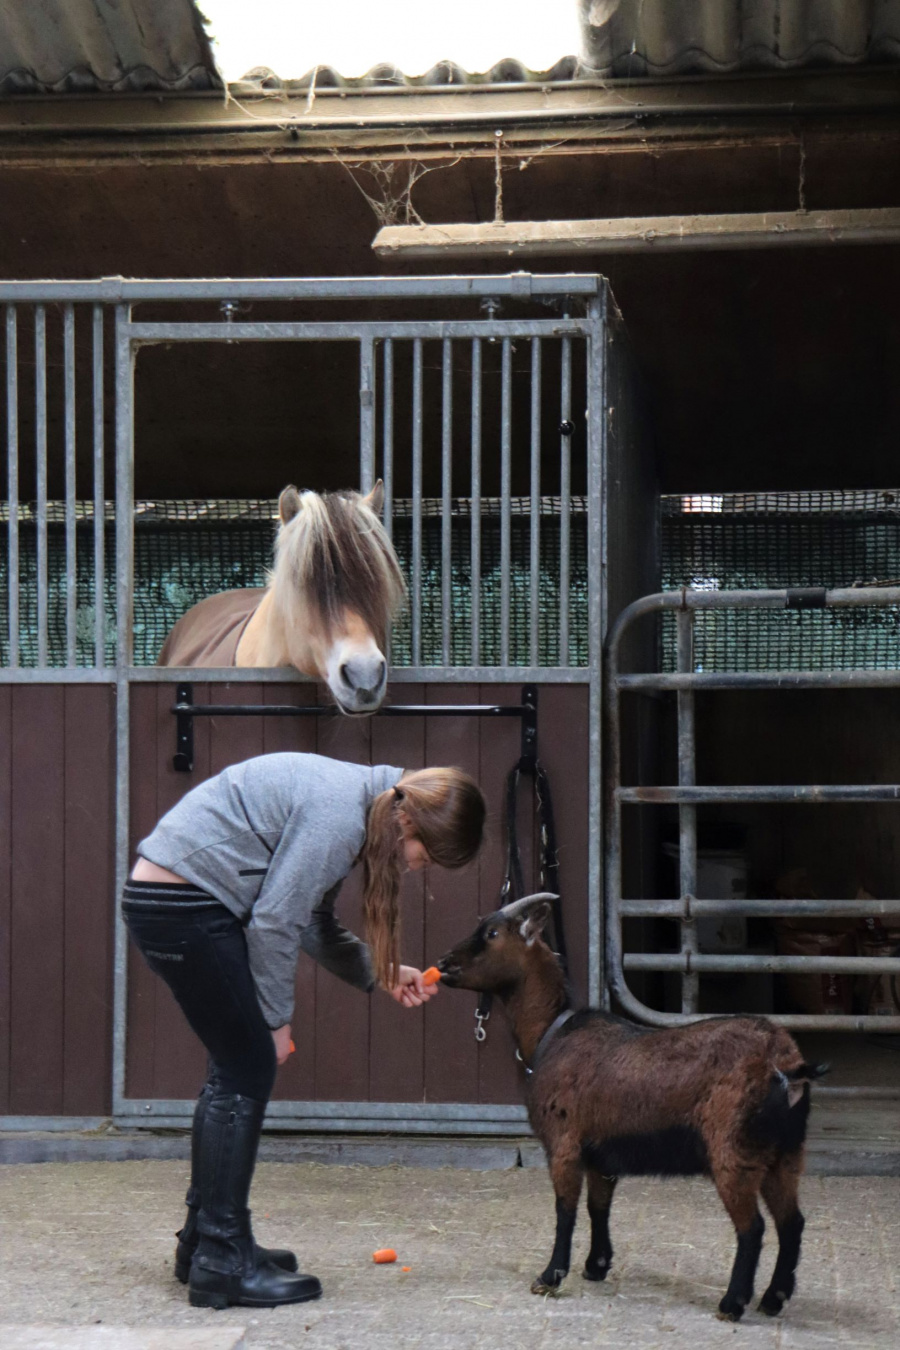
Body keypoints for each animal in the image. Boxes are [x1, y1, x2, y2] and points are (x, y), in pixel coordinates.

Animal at [437, 891, 831, 1323]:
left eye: (492, 933)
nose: (444, 964)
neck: (551, 1035)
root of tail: (786, 1064)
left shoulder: (564, 1144)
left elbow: (565, 1210)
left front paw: (549, 1276)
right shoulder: (600, 1154)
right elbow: (598, 1207)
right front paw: (596, 1266)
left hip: (734, 1151)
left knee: (753, 1227)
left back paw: (732, 1303)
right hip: (786, 1153)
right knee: (792, 1222)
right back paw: (774, 1298)